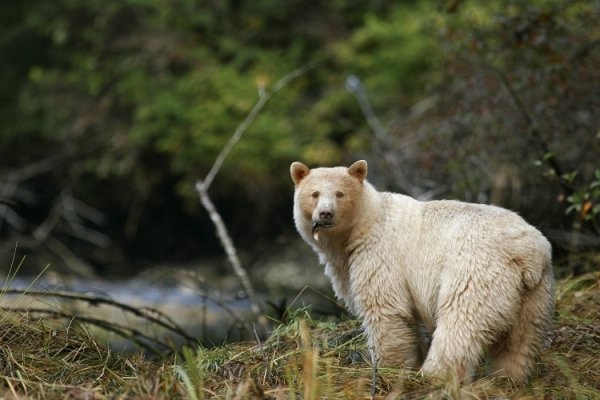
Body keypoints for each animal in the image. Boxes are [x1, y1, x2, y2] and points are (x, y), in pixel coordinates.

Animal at [290, 159, 552, 382]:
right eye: (314, 194)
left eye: (340, 193)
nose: (325, 213)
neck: (363, 225)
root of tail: (527, 252)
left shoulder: (379, 253)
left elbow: (385, 309)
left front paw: (389, 368)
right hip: (535, 291)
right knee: (521, 339)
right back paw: (508, 377)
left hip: (476, 271)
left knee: (461, 324)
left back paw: (434, 375)